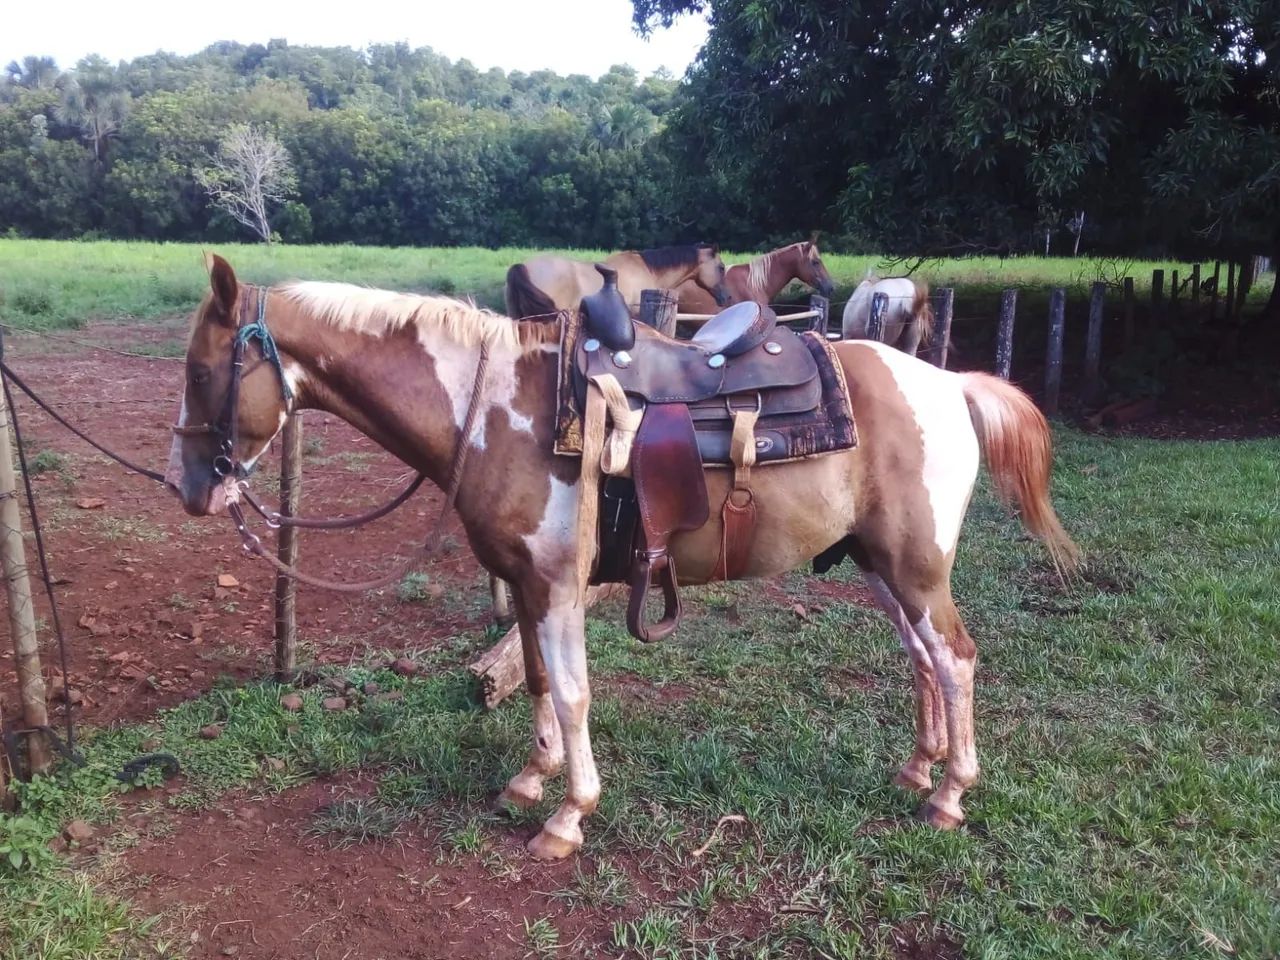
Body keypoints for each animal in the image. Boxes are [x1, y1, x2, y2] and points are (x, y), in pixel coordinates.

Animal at [168, 255, 1077, 861]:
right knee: (921, 657)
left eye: (204, 371)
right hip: (880, 566)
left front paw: (569, 816)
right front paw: (529, 779)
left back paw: (951, 796)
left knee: (955, 658)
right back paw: (919, 770)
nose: (187, 486)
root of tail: (951, 384)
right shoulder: (524, 584)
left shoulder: (558, 586)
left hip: (916, 568)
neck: (490, 409)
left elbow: (573, 694)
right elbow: (537, 680)